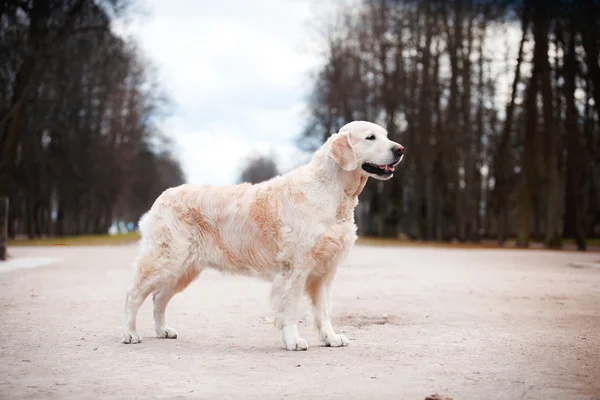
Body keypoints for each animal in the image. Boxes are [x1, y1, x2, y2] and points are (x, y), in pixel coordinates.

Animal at [120, 121, 406, 350]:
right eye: (370, 137)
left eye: (386, 135)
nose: (400, 149)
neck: (332, 193)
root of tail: (163, 195)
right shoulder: (296, 268)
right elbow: (291, 309)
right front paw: (293, 341)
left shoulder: (326, 270)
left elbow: (324, 310)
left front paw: (331, 338)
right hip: (166, 259)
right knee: (134, 294)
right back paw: (130, 334)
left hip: (185, 268)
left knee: (159, 297)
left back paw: (163, 330)